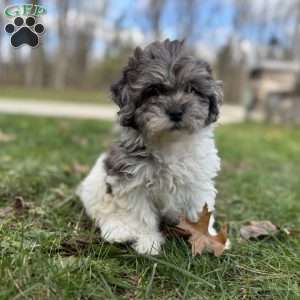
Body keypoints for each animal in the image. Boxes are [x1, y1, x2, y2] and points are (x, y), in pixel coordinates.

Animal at [77, 39, 223, 254]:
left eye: (191, 89)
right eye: (153, 91)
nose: (176, 112)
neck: (170, 143)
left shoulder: (198, 182)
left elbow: (200, 210)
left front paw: (208, 237)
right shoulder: (131, 183)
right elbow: (142, 216)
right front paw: (148, 242)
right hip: (95, 190)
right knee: (104, 212)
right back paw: (118, 231)